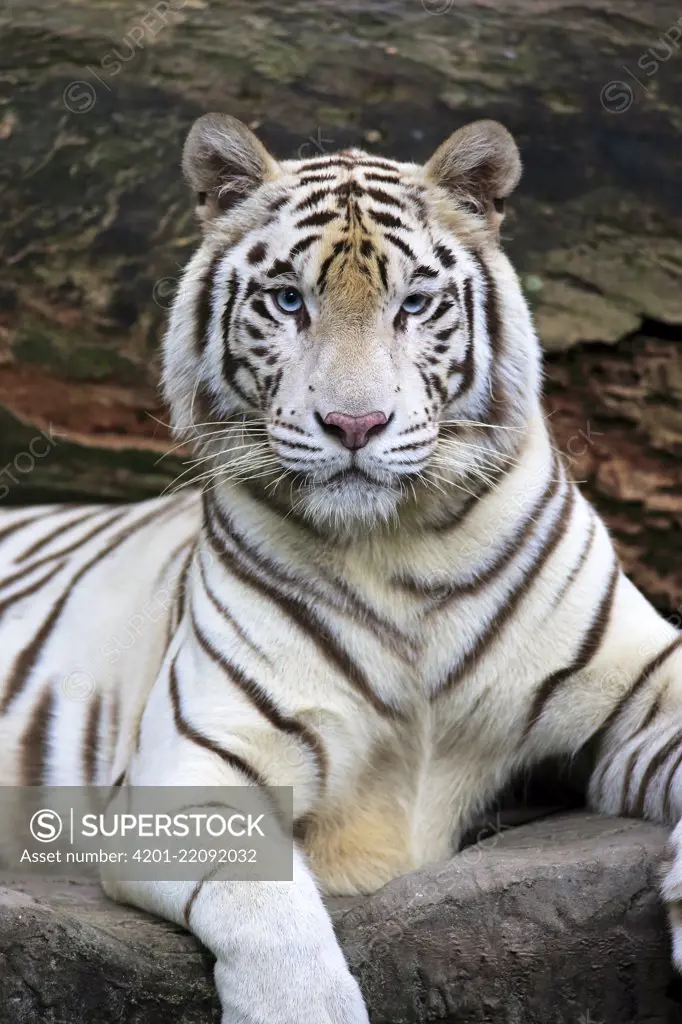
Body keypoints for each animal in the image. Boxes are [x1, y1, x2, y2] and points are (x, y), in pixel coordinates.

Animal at [1, 116, 679, 1019]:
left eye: (414, 303)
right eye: (289, 300)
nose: (355, 425)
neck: (400, 550)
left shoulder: (644, 677)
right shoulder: (187, 770)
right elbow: (268, 909)